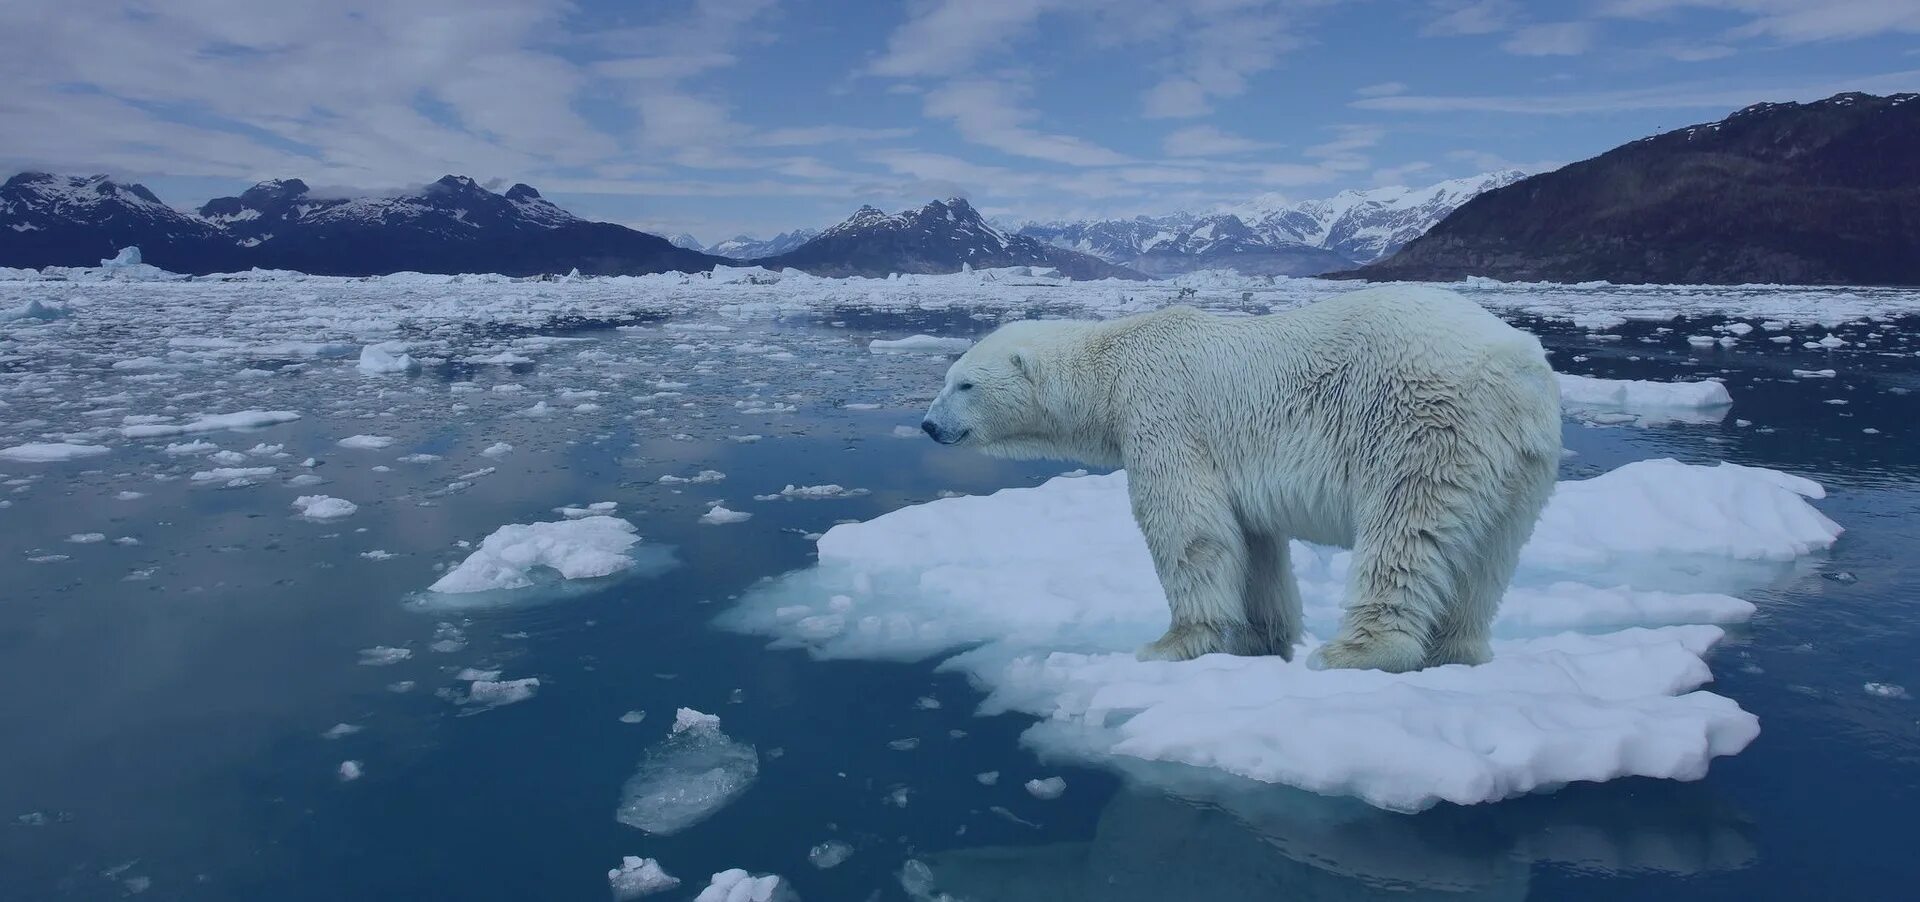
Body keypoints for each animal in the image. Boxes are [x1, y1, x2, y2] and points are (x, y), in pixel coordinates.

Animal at [917, 285, 1559, 671]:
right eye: (948, 377)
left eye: (964, 383)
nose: (927, 425)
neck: (1113, 366)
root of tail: (1520, 368)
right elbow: (1255, 545)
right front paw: (1260, 639)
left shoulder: (1165, 416)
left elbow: (1189, 530)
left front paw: (1172, 644)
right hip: (1520, 465)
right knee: (1488, 557)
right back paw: (1456, 651)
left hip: (1422, 424)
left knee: (1405, 530)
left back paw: (1355, 651)